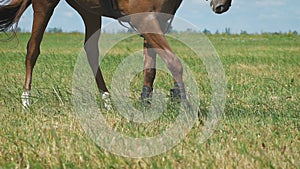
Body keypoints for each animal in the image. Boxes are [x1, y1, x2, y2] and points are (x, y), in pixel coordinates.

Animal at [0, 0, 232, 107]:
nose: (222, 6)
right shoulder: (146, 20)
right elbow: (173, 62)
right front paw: (186, 105)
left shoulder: (155, 22)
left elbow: (150, 68)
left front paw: (145, 103)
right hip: (44, 4)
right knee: (33, 49)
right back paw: (26, 100)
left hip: (90, 11)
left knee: (91, 52)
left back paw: (107, 100)